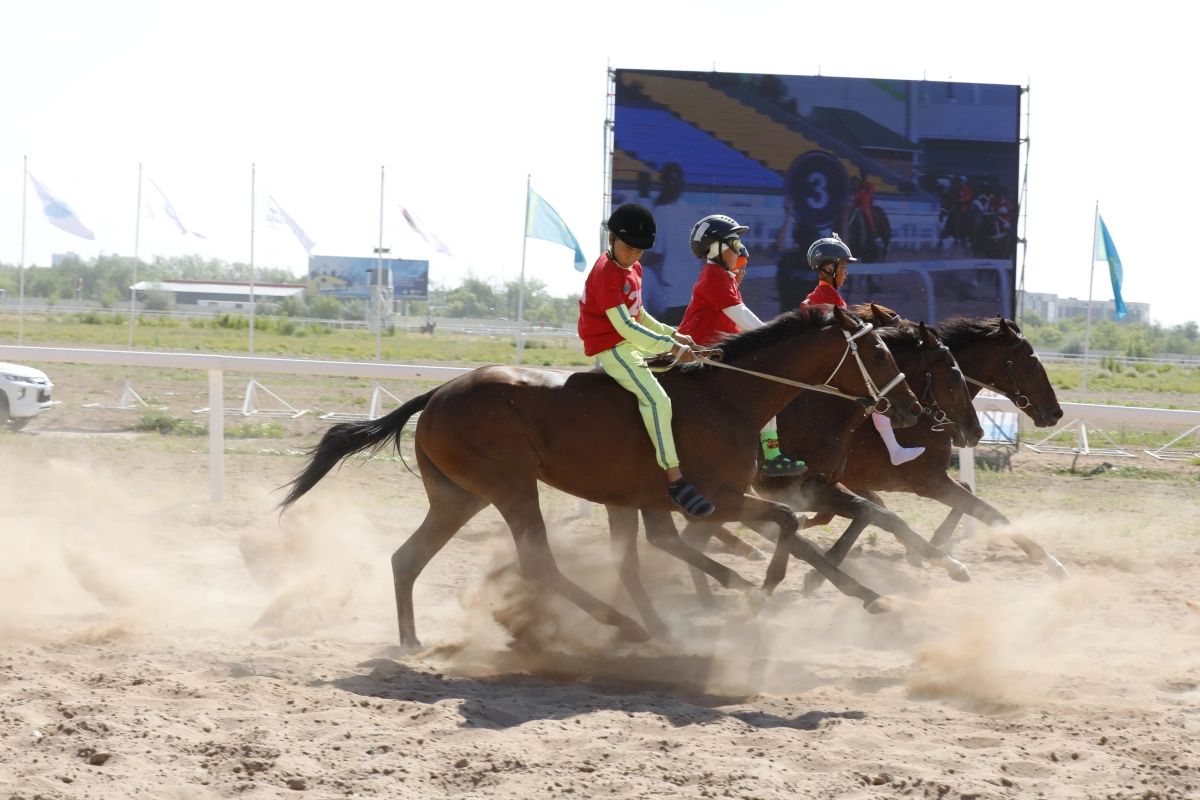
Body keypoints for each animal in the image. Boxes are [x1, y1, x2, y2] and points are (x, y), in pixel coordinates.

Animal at [278, 304, 916, 652]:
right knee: (538, 562)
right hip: (511, 488)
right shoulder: (714, 497)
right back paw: (630, 625)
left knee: (407, 557)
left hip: (459, 498)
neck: (727, 397)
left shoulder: (645, 499)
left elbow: (662, 551)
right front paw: (754, 590)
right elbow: (783, 524)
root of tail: (437, 392)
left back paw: (411, 640)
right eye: (880, 353)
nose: (910, 409)